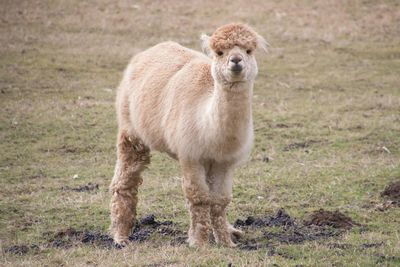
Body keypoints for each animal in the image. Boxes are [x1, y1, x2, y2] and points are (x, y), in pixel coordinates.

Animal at [108, 22, 268, 247]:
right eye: (219, 52)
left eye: (248, 50)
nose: (236, 61)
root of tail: (147, 51)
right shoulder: (190, 155)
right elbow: (198, 198)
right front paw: (199, 241)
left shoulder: (224, 161)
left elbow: (220, 200)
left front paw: (226, 242)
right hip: (130, 128)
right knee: (126, 178)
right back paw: (120, 236)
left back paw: (232, 231)